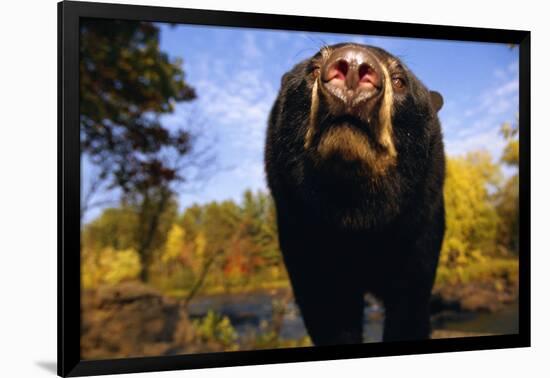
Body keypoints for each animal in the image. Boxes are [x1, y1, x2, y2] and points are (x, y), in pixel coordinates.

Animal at [266, 44, 446, 346]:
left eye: (400, 80)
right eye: (313, 69)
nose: (352, 65)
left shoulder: (420, 223)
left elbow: (410, 303)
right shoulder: (300, 230)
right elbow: (329, 311)